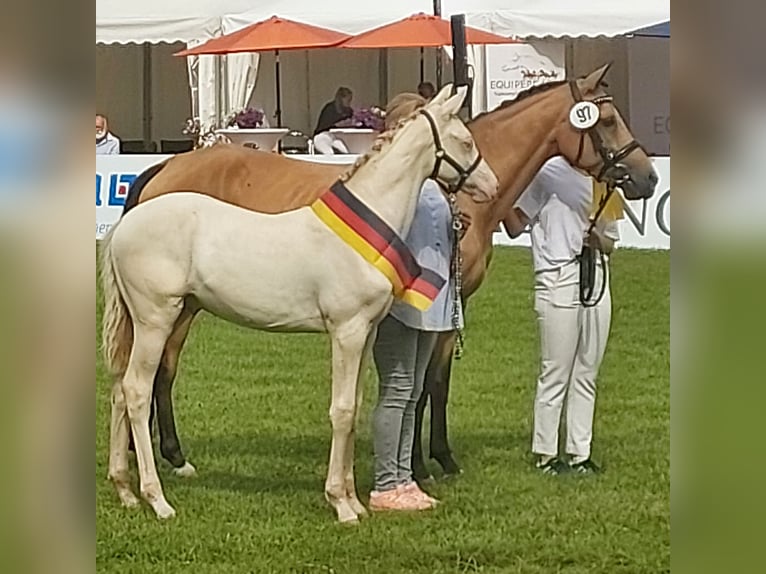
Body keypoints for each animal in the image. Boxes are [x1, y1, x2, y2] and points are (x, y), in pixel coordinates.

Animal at [100, 85, 498, 528]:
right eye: (465, 140)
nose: (491, 185)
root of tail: (125, 225)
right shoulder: (346, 331)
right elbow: (342, 410)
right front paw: (341, 504)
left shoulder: (365, 333)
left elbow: (354, 407)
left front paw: (355, 500)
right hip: (157, 319)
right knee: (137, 390)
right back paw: (157, 499)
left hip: (143, 321)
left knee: (119, 390)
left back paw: (125, 490)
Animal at [121, 65, 660, 484]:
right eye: (606, 119)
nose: (648, 177)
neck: (448, 196)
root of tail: (165, 168)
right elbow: (418, 387)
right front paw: (420, 466)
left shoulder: (453, 307)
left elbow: (437, 383)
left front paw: (442, 458)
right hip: (176, 306)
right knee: (156, 369)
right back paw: (161, 458)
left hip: (187, 304)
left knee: (157, 368)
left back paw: (157, 456)